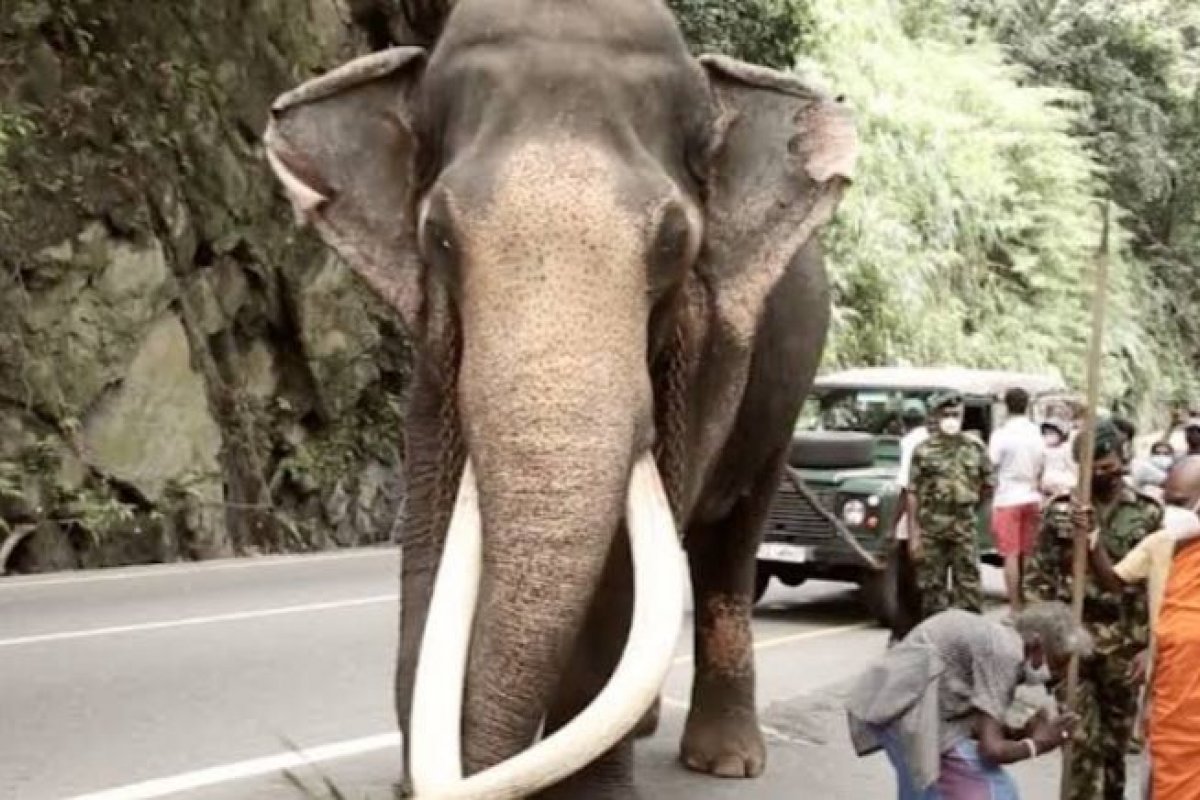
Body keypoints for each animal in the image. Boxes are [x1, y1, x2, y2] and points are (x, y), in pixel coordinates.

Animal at [263, 0, 857, 797]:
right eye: (438, 236)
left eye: (673, 242)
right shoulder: (432, 348)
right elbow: (429, 546)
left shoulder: (704, 353)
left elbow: (622, 576)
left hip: (784, 396)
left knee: (731, 547)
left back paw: (726, 761)